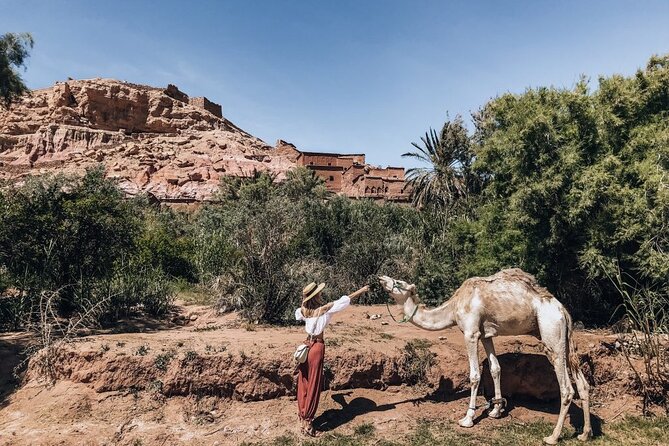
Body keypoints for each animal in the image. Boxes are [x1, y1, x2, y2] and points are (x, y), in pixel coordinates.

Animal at [379, 268, 592, 445]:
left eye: (399, 282)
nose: (381, 278)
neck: (454, 307)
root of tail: (563, 311)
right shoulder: (486, 335)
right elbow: (495, 368)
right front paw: (496, 410)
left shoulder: (471, 333)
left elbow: (474, 375)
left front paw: (467, 418)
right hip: (564, 340)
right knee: (583, 383)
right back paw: (585, 434)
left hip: (551, 335)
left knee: (566, 389)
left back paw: (553, 437)